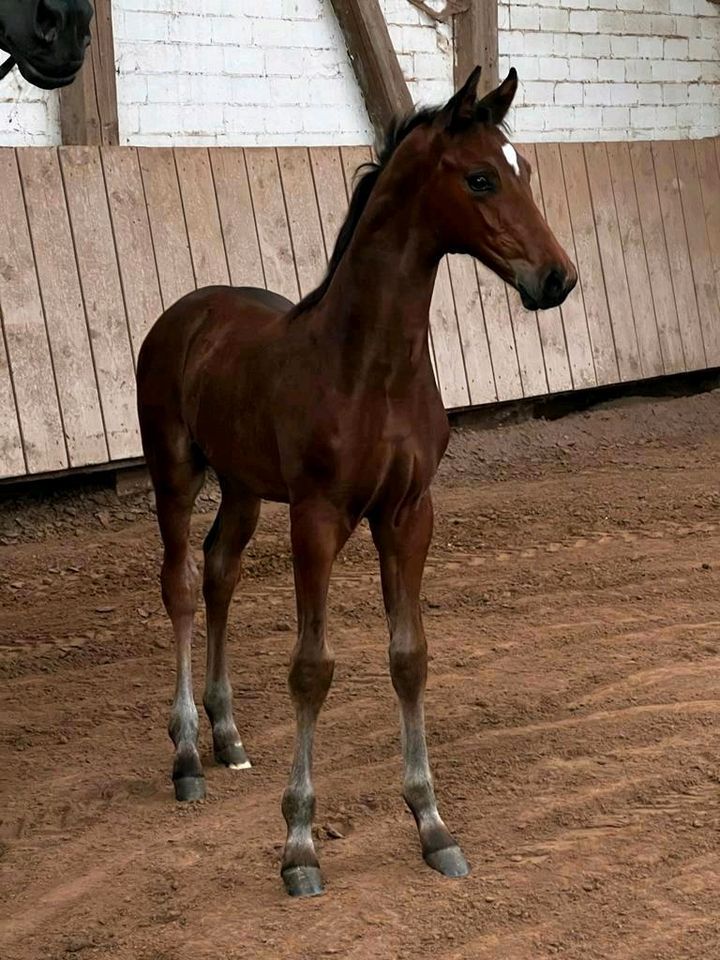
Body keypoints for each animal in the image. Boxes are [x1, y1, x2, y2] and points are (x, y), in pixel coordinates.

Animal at [138, 69, 576, 900]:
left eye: (529, 169)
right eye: (481, 177)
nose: (558, 279)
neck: (372, 369)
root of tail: (185, 311)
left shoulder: (407, 514)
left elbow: (409, 656)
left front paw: (433, 826)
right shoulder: (318, 517)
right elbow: (313, 669)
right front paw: (299, 846)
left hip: (243, 487)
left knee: (219, 573)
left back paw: (226, 736)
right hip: (174, 472)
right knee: (179, 586)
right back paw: (182, 758)